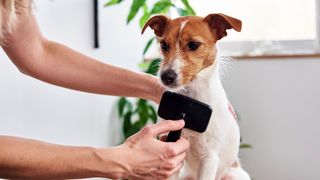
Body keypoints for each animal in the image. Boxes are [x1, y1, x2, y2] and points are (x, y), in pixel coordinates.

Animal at [142, 13, 250, 179]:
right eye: (164, 45)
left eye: (193, 44)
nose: (166, 76)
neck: (191, 100)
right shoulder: (171, 151)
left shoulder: (209, 158)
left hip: (233, 175)